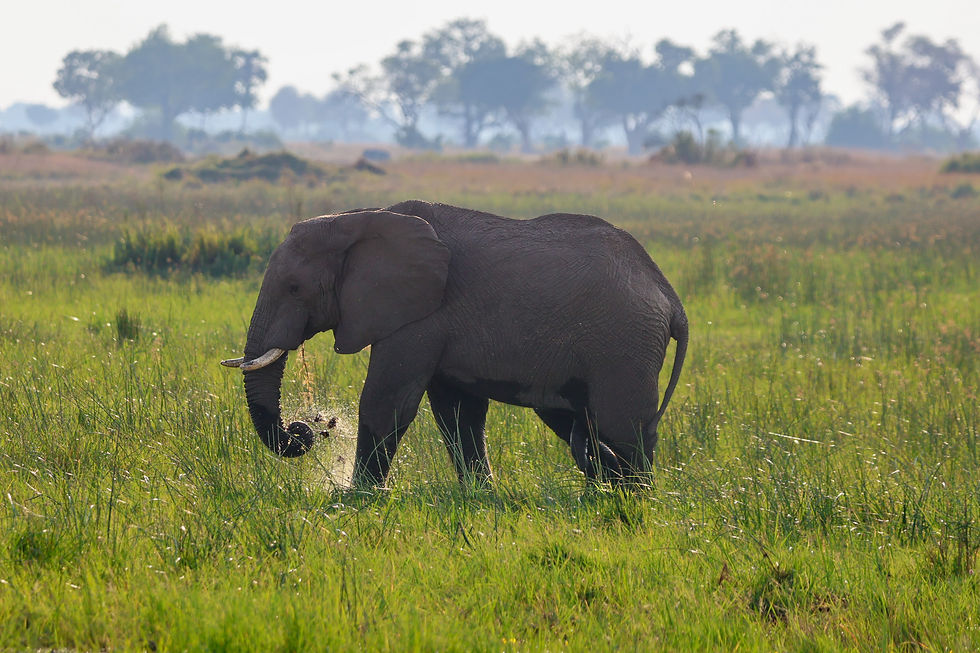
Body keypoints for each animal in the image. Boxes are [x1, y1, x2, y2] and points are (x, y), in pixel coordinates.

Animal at [221, 200, 688, 487]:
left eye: (295, 288)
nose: (304, 430)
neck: (358, 218)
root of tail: (670, 296)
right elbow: (457, 413)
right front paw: (481, 496)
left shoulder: (420, 316)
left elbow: (386, 402)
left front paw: (358, 500)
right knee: (585, 425)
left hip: (625, 344)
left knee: (620, 428)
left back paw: (631, 503)